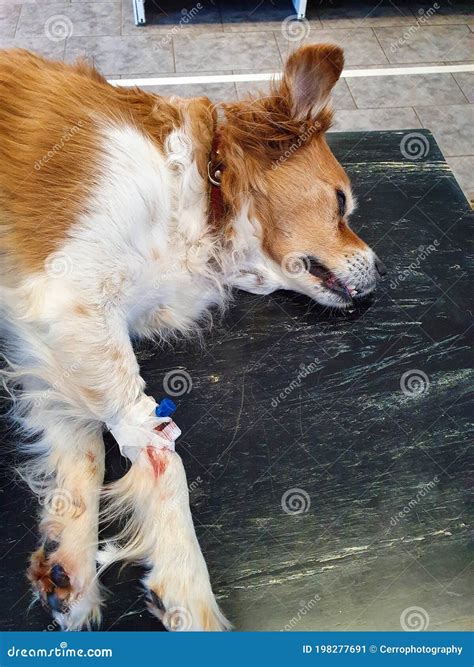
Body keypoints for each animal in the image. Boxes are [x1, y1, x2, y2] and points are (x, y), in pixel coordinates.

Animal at [0, 43, 386, 632]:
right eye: (341, 204)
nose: (384, 272)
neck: (203, 184)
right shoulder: (71, 295)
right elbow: (161, 451)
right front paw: (186, 581)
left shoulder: (49, 331)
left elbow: (83, 446)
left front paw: (69, 557)